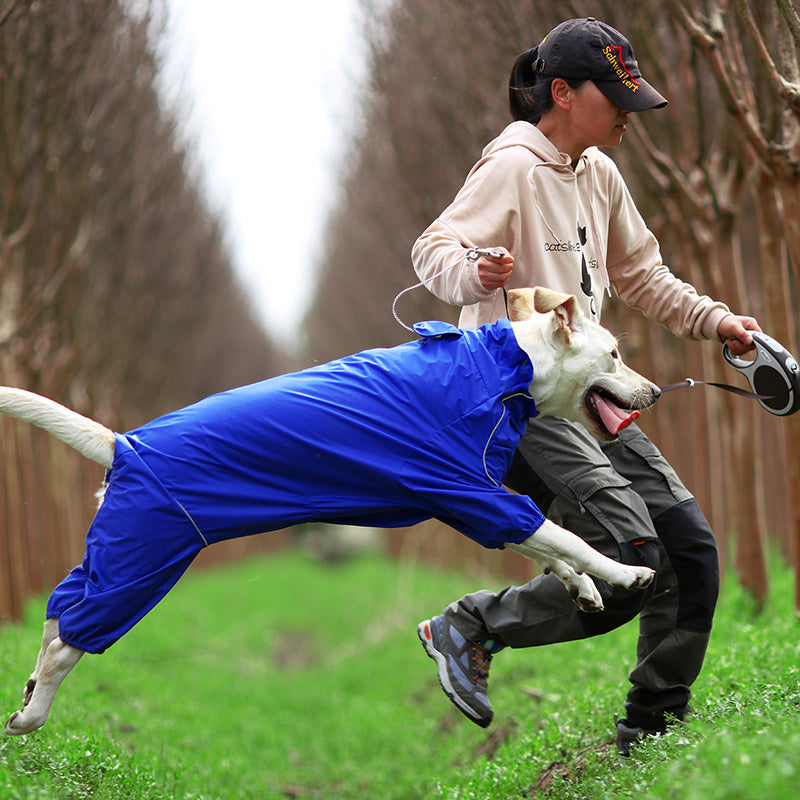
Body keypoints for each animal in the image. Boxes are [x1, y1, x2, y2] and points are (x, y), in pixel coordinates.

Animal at [3, 284, 660, 736]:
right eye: (615, 353)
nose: (654, 391)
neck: (502, 369)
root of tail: (124, 444)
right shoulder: (470, 493)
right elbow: (568, 540)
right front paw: (626, 572)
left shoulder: (475, 501)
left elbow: (551, 549)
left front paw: (586, 589)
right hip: (142, 559)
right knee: (68, 639)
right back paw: (33, 715)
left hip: (120, 554)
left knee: (59, 613)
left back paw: (27, 697)